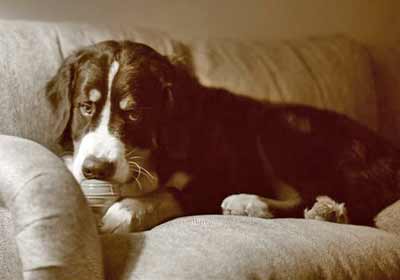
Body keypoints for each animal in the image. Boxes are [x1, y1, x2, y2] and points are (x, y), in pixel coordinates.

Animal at [45, 38, 400, 232]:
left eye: (134, 114)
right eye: (85, 107)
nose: (95, 169)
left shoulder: (217, 177)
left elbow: (170, 194)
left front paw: (126, 211)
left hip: (275, 127)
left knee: (315, 197)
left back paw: (259, 204)